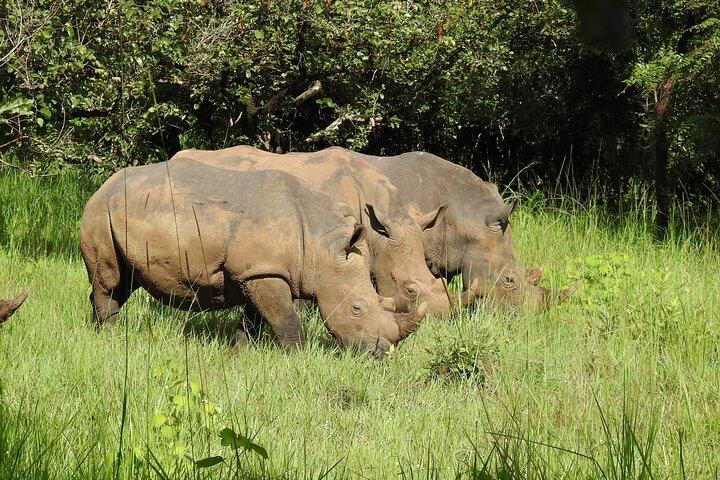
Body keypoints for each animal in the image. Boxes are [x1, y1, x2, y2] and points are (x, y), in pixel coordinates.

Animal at [80, 159, 427, 356]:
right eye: (357, 308)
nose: (379, 354)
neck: (321, 245)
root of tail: (101, 187)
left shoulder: (259, 272)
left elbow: (254, 320)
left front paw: (240, 355)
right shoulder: (263, 272)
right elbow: (285, 319)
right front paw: (298, 357)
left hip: (125, 210)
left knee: (125, 281)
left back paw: (101, 331)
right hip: (101, 213)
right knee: (110, 279)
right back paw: (109, 336)